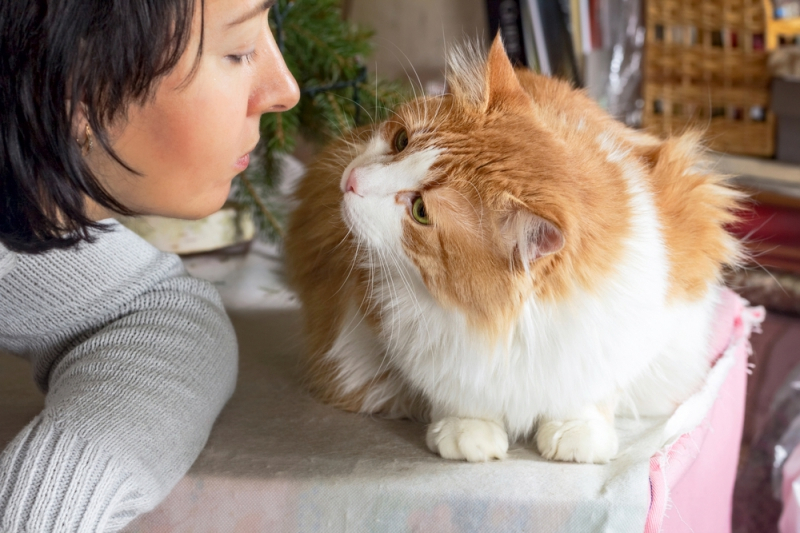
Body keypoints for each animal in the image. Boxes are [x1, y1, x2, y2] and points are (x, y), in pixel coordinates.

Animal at [282, 35, 744, 464]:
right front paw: (467, 430)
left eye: (420, 212)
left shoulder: (637, 330)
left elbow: (592, 393)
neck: (504, 324)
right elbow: (452, 389)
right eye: (399, 140)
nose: (351, 182)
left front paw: (577, 433)